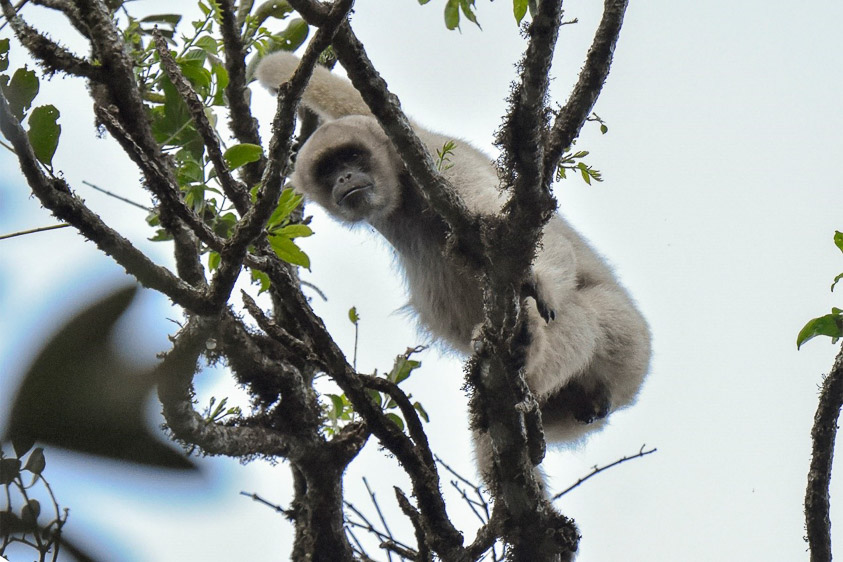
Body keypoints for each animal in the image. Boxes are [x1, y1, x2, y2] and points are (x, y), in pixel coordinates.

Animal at [258, 50, 652, 482]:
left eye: (352, 157)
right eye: (328, 170)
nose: (344, 177)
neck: (405, 200)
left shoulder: (437, 160)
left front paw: (537, 288)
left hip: (628, 338)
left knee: (584, 316)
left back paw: (528, 348)